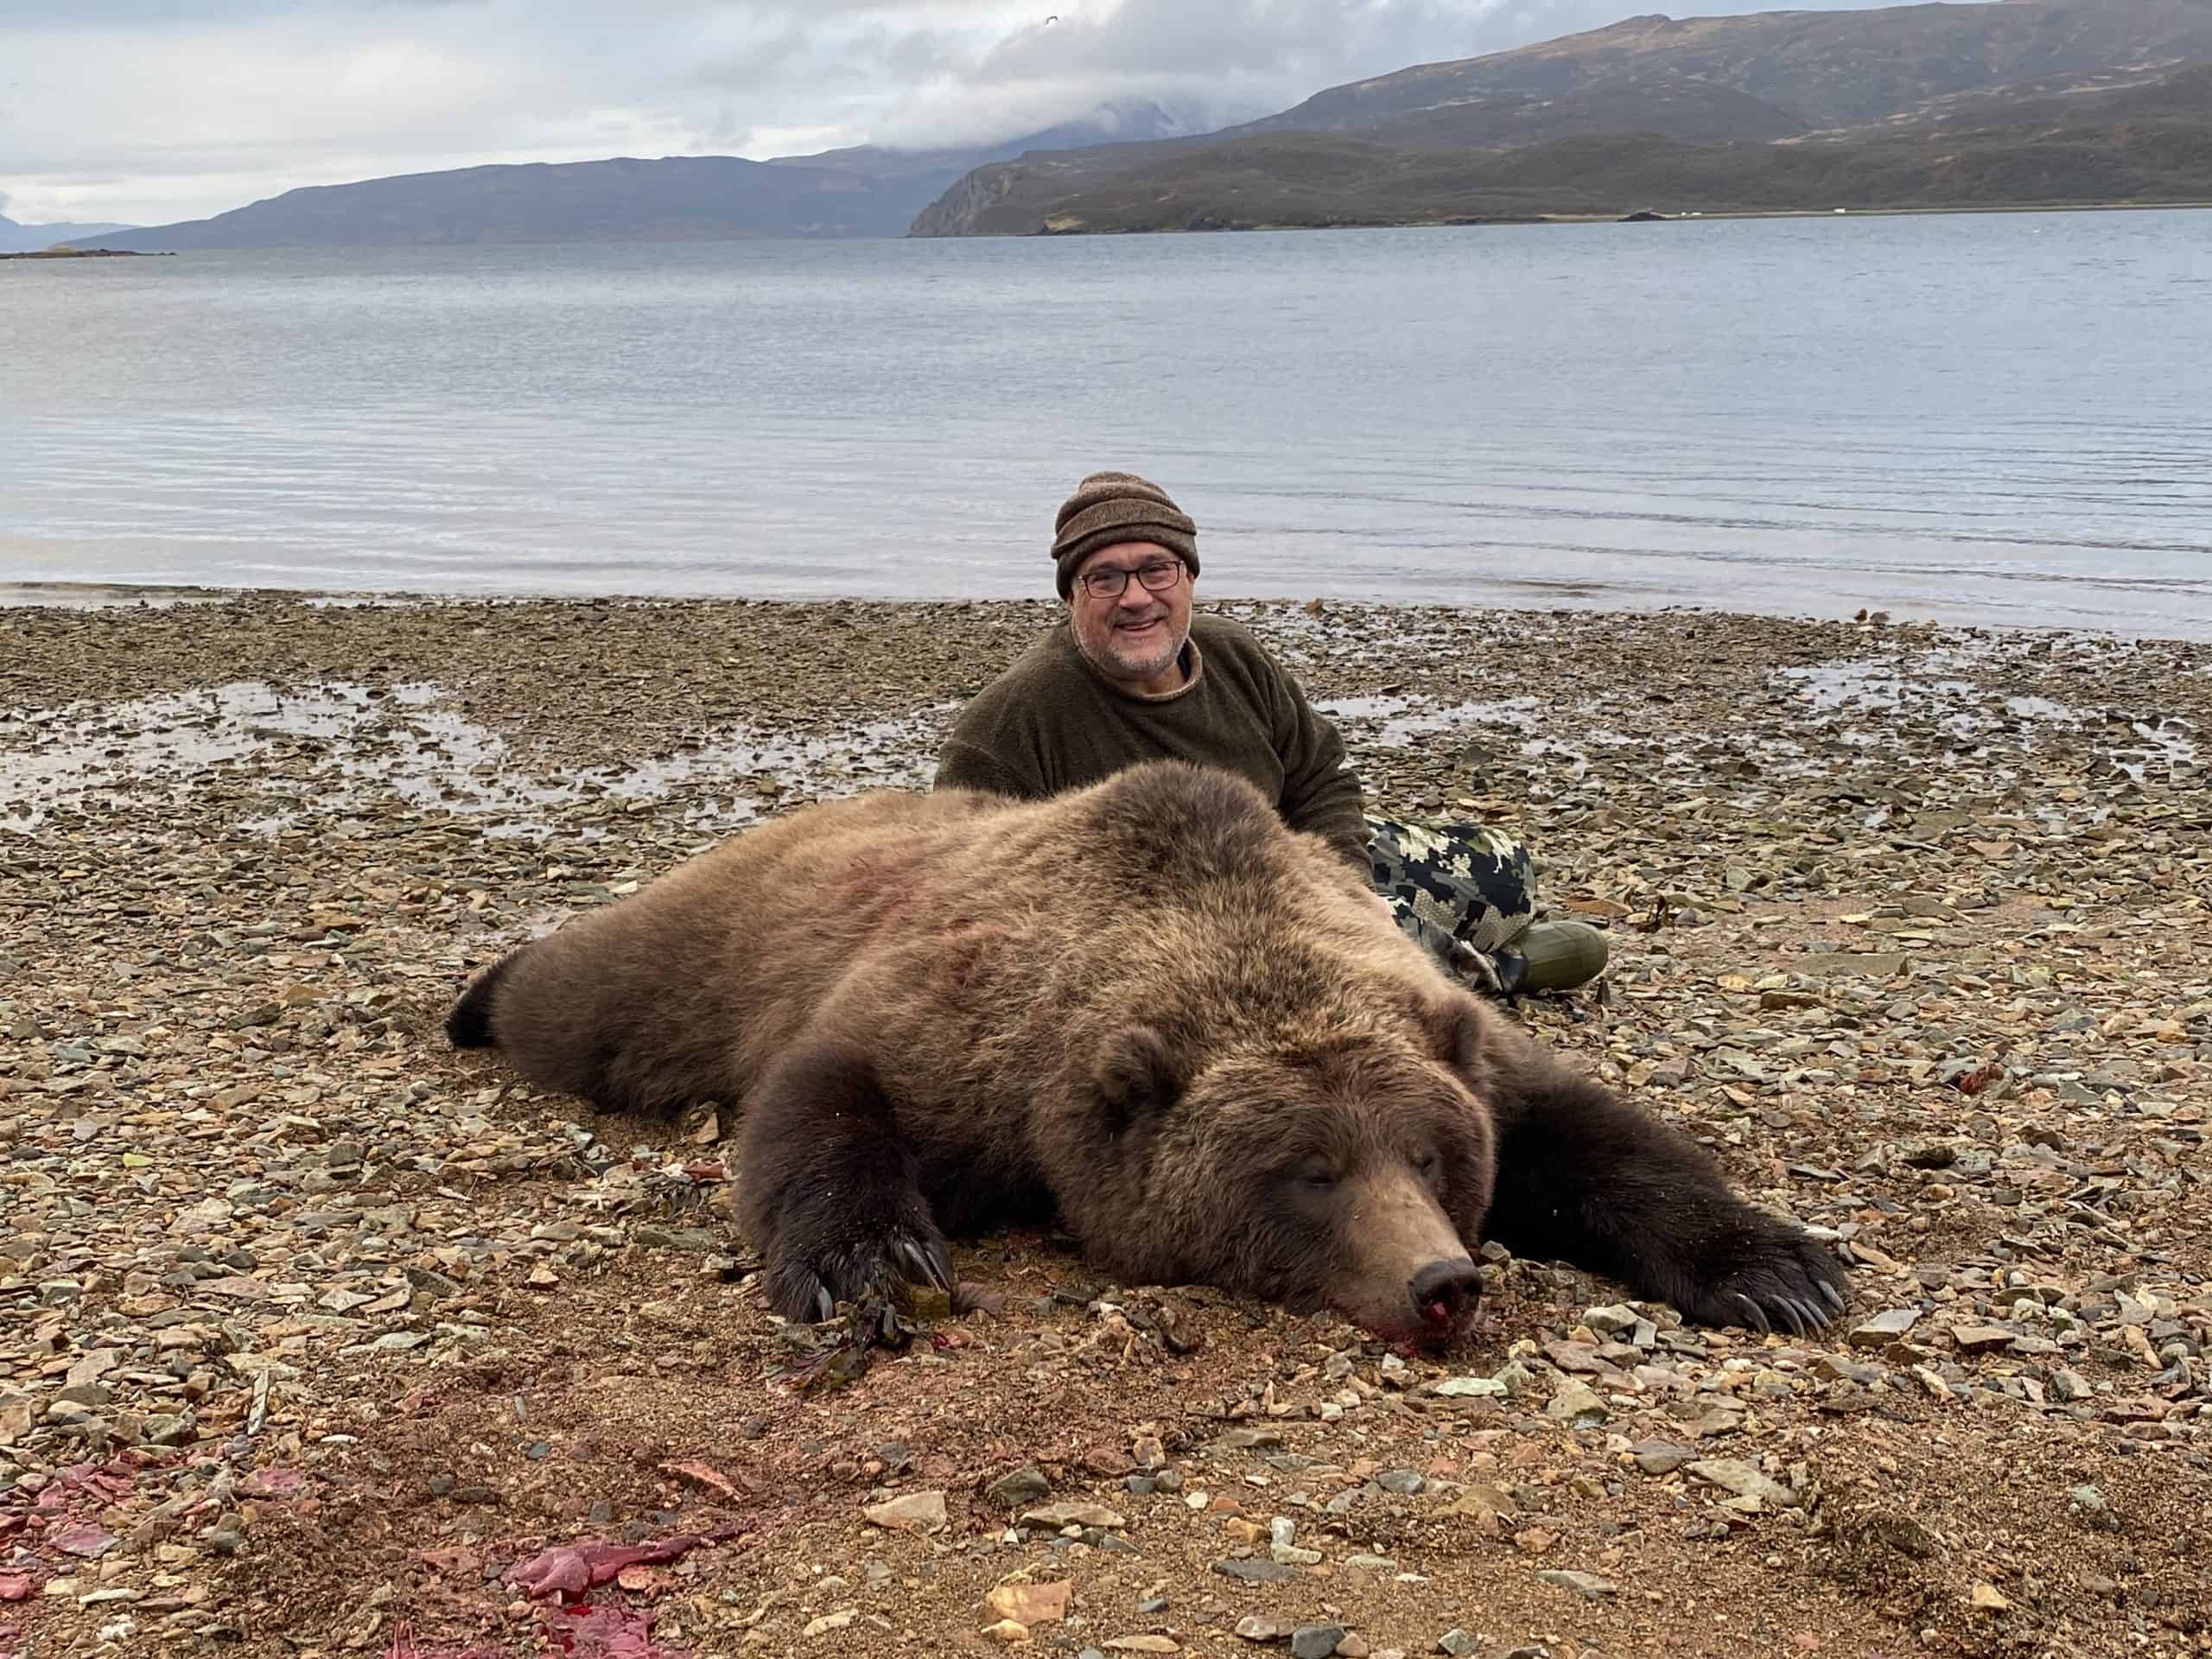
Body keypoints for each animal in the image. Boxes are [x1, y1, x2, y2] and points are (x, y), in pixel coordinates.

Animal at [446, 759, 1848, 1349]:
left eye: (1428, 1156)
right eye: (1308, 1173)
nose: (1442, 1281)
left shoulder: (1461, 1040)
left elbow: (1595, 1136)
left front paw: (1780, 1270)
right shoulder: (962, 1028)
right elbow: (827, 1095)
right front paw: (878, 1267)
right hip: (718, 938)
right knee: (593, 998)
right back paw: (481, 993)